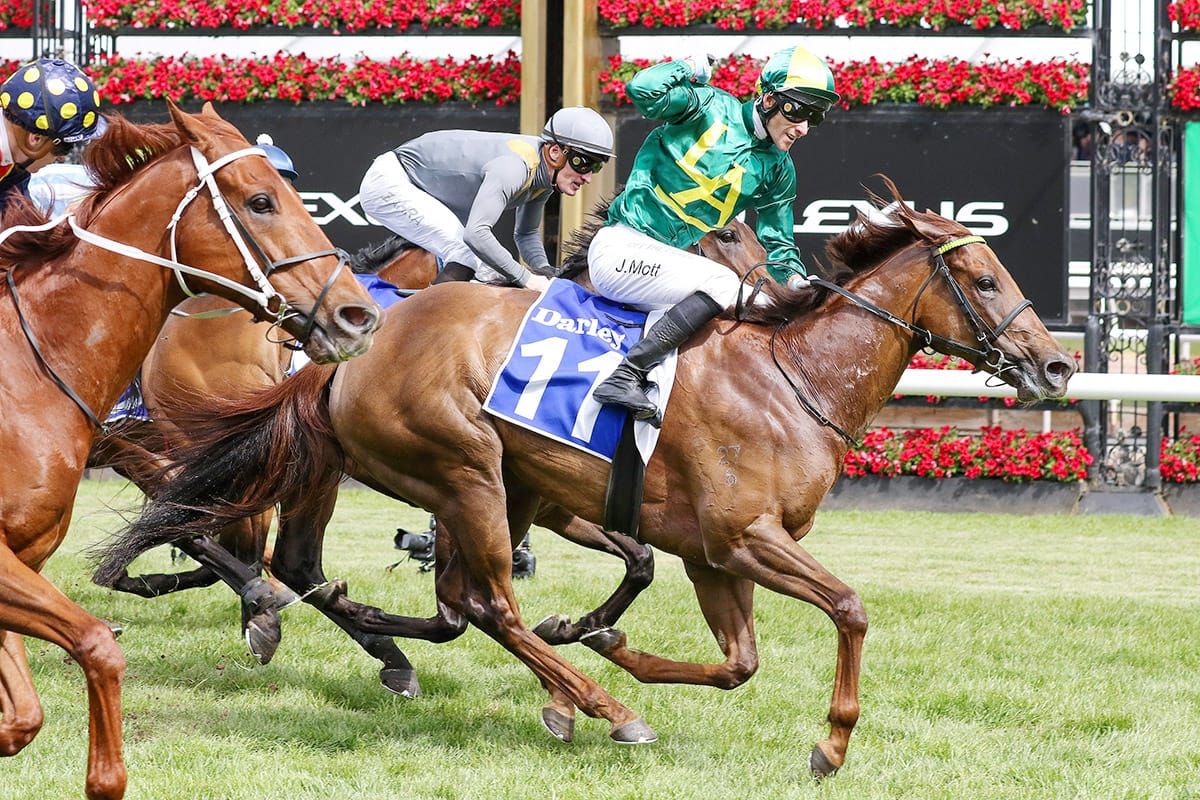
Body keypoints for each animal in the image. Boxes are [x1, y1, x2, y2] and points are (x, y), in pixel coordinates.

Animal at [0, 101, 380, 800]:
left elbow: (24, 718)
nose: (358, 316)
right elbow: (98, 645)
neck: (29, 364)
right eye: (261, 201)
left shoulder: (22, 561)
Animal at [96, 179, 1076, 770]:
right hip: (467, 469)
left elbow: (736, 662)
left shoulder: (710, 555)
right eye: (984, 277)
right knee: (480, 603)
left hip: (477, 484)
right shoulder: (743, 539)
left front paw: (600, 637)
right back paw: (597, 706)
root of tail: (350, 350)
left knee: (401, 591)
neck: (791, 380)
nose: (1058, 365)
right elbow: (849, 607)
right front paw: (831, 744)